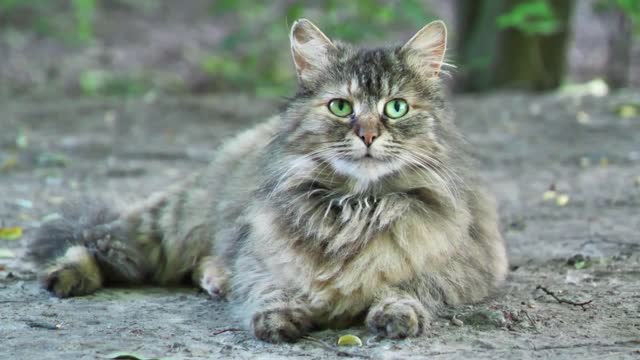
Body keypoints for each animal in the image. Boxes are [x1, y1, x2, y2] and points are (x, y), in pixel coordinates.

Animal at [28, 18, 510, 342]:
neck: (356, 206)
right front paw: (279, 316)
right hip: (170, 226)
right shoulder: (260, 255)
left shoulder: (466, 266)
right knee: (103, 238)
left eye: (396, 108)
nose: (368, 135)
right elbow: (268, 287)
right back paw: (67, 275)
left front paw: (396, 313)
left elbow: (409, 286)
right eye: (340, 107)